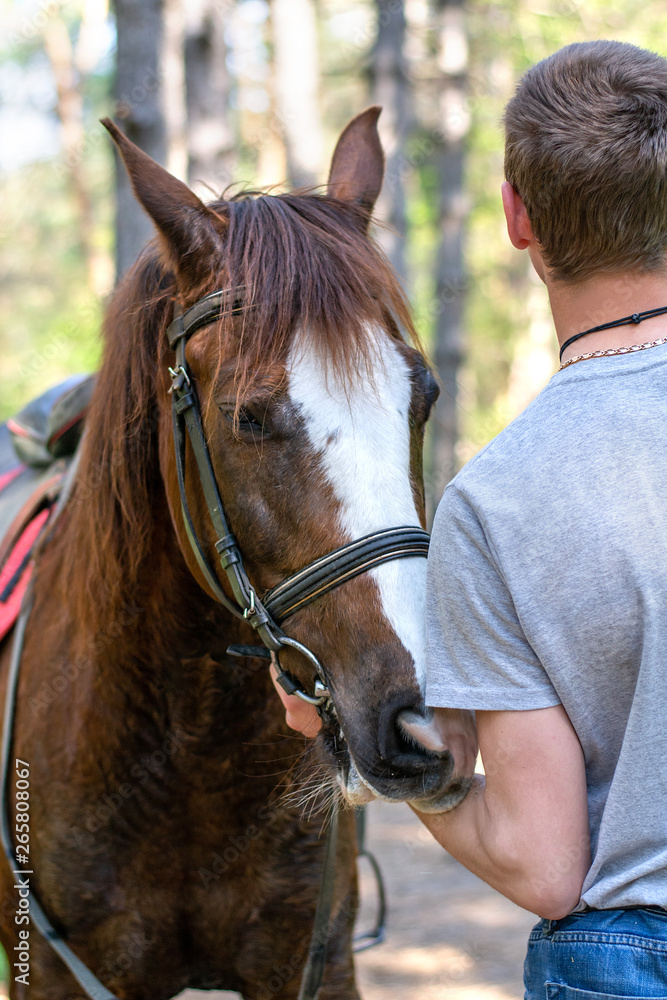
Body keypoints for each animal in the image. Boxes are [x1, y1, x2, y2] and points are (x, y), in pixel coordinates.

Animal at [0, 107, 477, 999]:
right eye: (247, 417)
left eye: (422, 396)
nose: (434, 722)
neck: (188, 743)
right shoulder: (49, 972)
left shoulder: (312, 964)